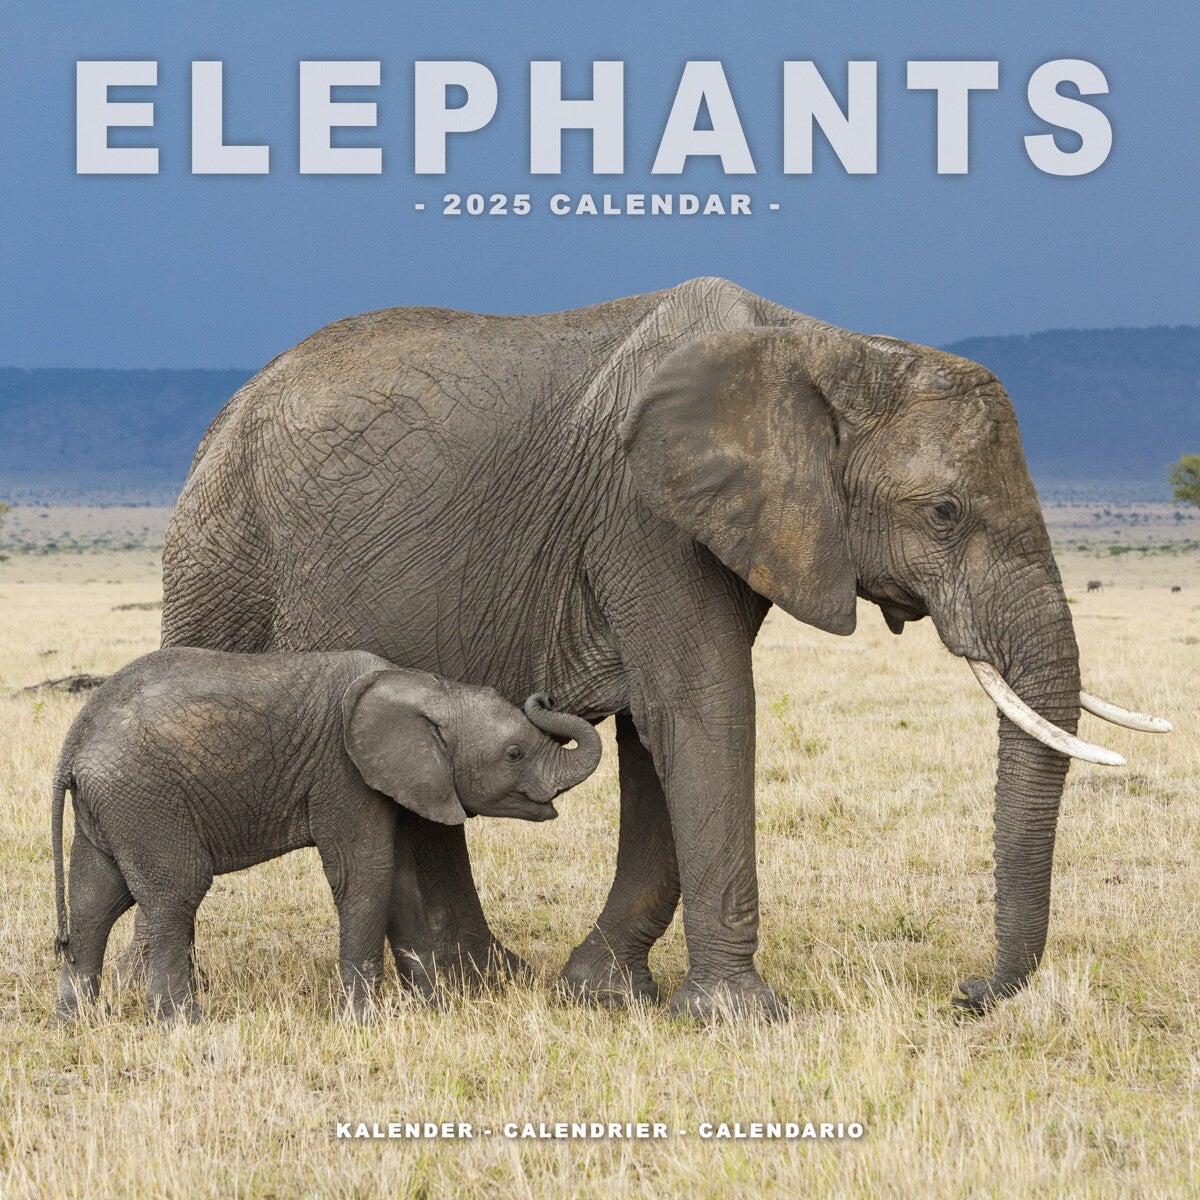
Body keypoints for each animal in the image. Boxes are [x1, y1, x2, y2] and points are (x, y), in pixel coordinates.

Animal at [52, 647, 601, 1022]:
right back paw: (183, 1025)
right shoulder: (343, 772)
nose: (545, 694)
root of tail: (74, 744)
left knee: (95, 899)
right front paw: (361, 1021)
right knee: (175, 892)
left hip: (115, 805)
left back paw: (75, 1022)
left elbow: (398, 883)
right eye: (514, 754)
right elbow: (364, 876)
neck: (426, 687)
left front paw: (434, 1010)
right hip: (146, 797)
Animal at [157, 276, 1169, 1018]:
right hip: (221, 554)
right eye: (945, 512)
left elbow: (661, 734)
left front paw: (600, 994)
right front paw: (740, 1019)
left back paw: (477, 984)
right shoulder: (644, 514)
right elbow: (703, 711)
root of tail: (223, 412)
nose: (966, 994)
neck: (828, 346)